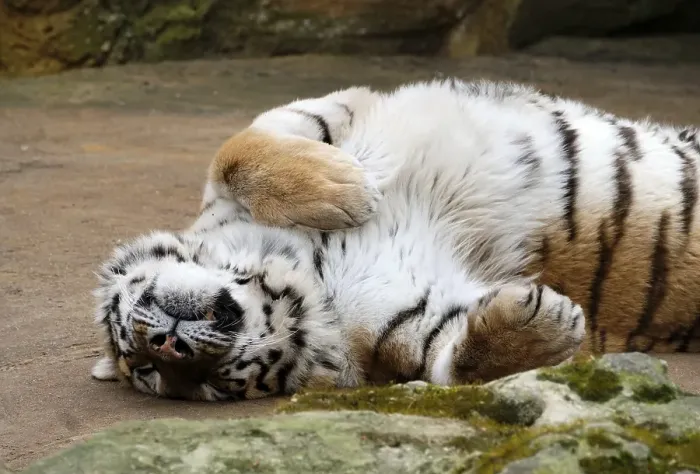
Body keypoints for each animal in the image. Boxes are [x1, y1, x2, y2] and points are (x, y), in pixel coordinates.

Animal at [90, 78, 700, 401]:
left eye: (141, 359)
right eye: (155, 374)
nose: (165, 346)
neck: (309, 268)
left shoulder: (320, 110)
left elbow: (238, 149)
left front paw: (345, 190)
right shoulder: (403, 319)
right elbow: (449, 356)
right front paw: (543, 326)